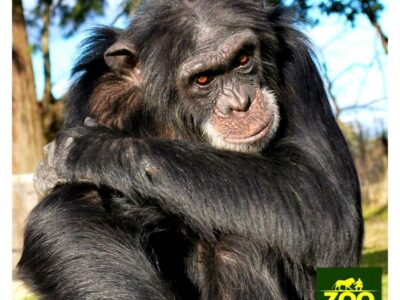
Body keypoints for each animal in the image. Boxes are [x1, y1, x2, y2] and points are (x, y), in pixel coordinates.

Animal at [17, 0, 364, 300]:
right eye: (203, 79)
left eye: (242, 60)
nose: (240, 103)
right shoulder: (99, 91)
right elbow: (75, 209)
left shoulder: (296, 59)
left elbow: (322, 196)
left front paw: (95, 148)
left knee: (240, 246)